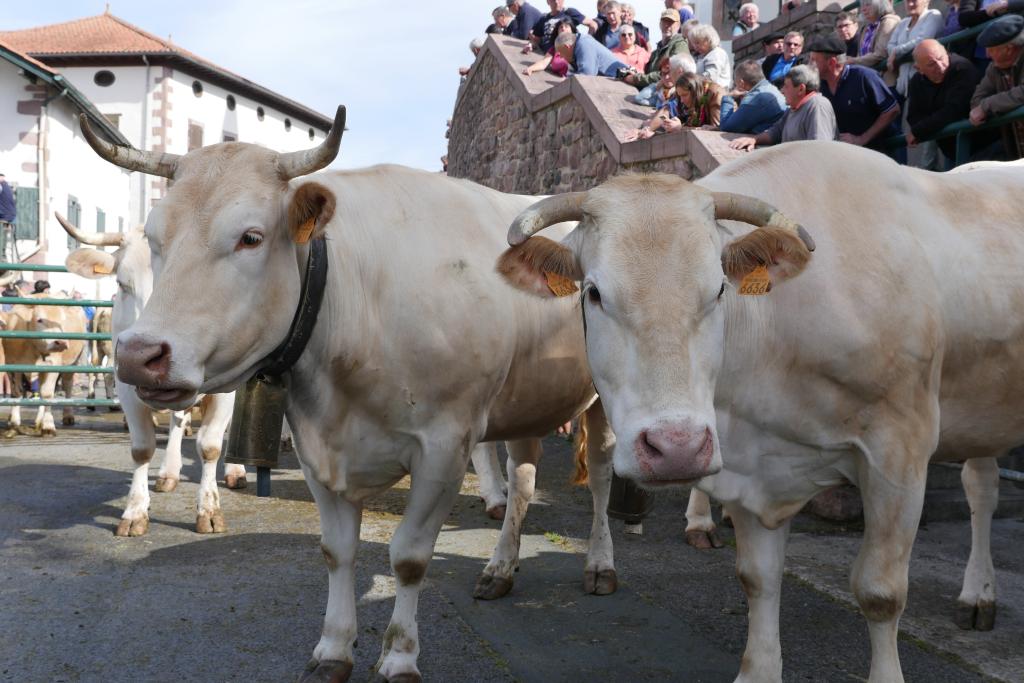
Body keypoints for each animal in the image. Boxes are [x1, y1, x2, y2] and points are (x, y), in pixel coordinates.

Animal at [58, 216, 244, 536]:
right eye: (122, 283)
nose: (138, 353)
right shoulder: (126, 386)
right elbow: (142, 449)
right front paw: (134, 511)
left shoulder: (226, 390)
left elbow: (209, 447)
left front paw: (209, 509)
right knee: (178, 420)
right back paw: (169, 472)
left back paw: (236, 471)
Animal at [86, 108, 614, 683]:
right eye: (155, 237)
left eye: (251, 236)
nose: (139, 354)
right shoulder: (317, 448)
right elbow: (336, 551)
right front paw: (334, 649)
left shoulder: (445, 447)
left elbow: (408, 557)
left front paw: (400, 655)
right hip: (527, 403)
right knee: (522, 482)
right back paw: (500, 569)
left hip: (608, 405)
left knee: (601, 481)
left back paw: (600, 564)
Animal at [495, 140, 1015, 683]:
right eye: (593, 292)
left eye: (719, 289)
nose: (676, 449)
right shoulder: (749, 467)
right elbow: (758, 579)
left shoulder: (900, 452)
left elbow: (881, 593)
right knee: (982, 488)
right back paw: (979, 595)